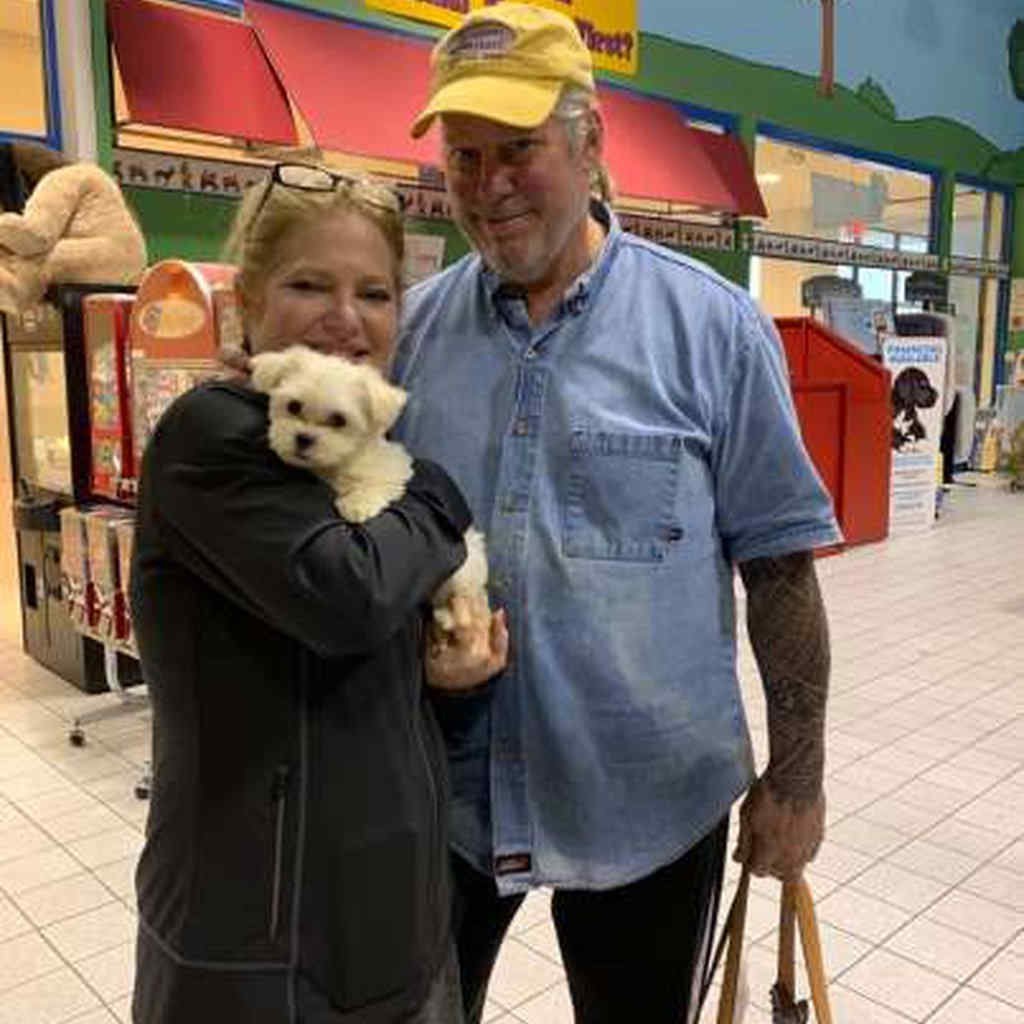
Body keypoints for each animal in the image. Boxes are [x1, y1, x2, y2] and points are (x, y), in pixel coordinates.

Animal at [249, 346, 485, 630]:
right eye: (293, 406)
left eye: (339, 420)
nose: (303, 439)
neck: (335, 464)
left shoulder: (394, 466)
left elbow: (376, 483)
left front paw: (356, 505)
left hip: (462, 574)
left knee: (462, 595)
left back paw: (448, 616)